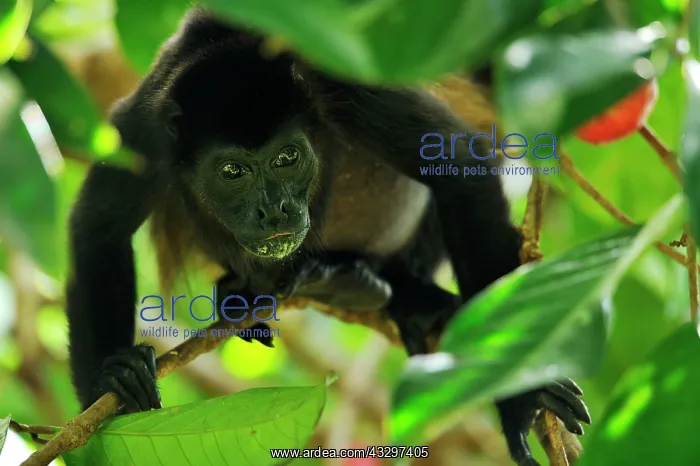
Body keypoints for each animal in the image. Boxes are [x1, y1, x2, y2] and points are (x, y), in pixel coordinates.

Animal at [65, 7, 590, 465]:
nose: (273, 209)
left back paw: (393, 293)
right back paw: (256, 290)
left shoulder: (347, 86)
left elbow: (461, 171)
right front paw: (111, 381)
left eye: (287, 158)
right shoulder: (146, 130)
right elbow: (99, 229)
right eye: (231, 171)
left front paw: (521, 397)